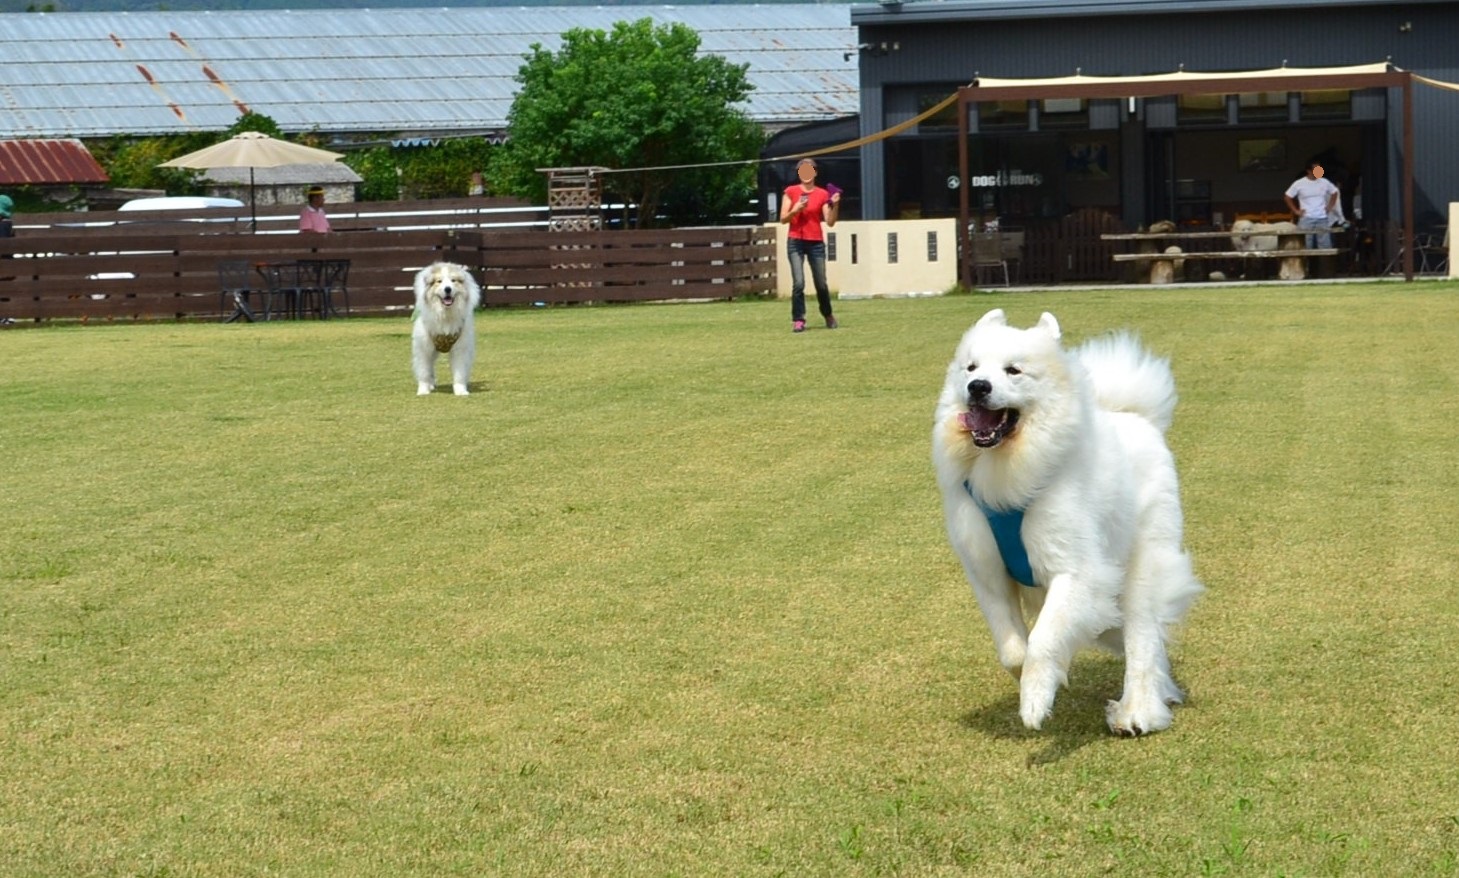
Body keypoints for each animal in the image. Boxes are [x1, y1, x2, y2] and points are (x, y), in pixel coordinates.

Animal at [411, 261, 484, 393]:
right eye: (439, 281)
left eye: (453, 280)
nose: (448, 289)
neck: (446, 314)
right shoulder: (424, 348)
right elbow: (424, 371)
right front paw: (423, 390)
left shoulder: (460, 349)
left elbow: (460, 372)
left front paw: (461, 391)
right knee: (430, 367)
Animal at [933, 307, 1208, 732]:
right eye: (971, 368)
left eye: (1013, 370)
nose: (977, 387)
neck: (1009, 473)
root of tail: (1136, 417)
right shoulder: (989, 575)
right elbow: (1013, 649)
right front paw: (1037, 679)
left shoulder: (1076, 572)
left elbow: (1044, 640)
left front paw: (1034, 701)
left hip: (1139, 569)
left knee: (1143, 638)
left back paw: (1137, 711)